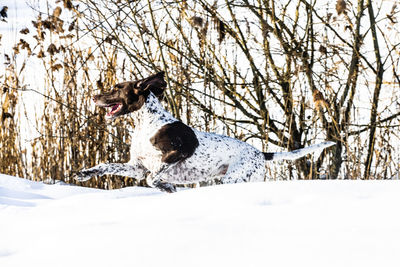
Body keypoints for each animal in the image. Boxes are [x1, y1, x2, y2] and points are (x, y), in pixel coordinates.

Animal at [76, 71, 334, 193]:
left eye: (117, 88)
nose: (94, 96)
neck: (147, 123)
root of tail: (261, 154)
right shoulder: (137, 167)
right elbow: (106, 165)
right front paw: (84, 173)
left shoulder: (177, 153)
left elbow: (153, 178)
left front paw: (167, 187)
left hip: (234, 178)